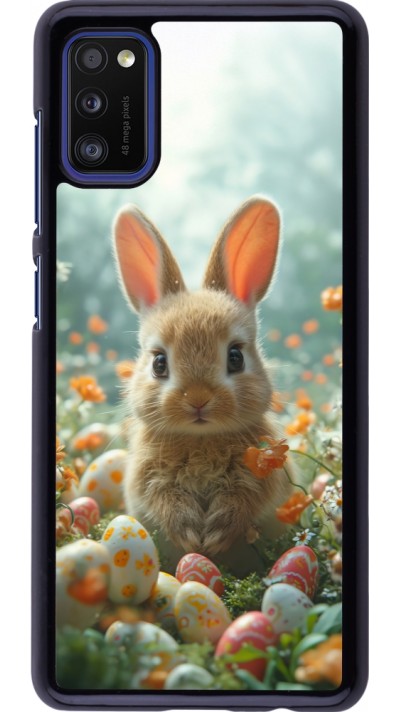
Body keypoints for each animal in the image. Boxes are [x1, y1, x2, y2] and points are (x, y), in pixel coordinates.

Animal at [113, 196, 293, 571]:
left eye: (235, 357)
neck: (201, 438)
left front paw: (216, 535)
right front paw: (190, 534)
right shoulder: (147, 478)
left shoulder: (262, 475)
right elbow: (164, 500)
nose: (197, 399)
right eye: (159, 363)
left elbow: (244, 500)